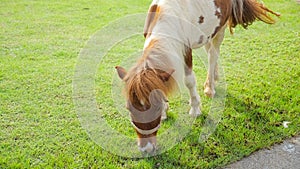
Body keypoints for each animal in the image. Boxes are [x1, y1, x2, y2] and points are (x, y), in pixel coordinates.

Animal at [115, 0, 278, 153]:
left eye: (155, 109)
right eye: (129, 108)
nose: (146, 149)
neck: (167, 15)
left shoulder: (186, 49)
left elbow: (189, 81)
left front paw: (195, 108)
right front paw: (165, 111)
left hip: (220, 27)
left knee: (213, 54)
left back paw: (210, 87)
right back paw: (215, 76)